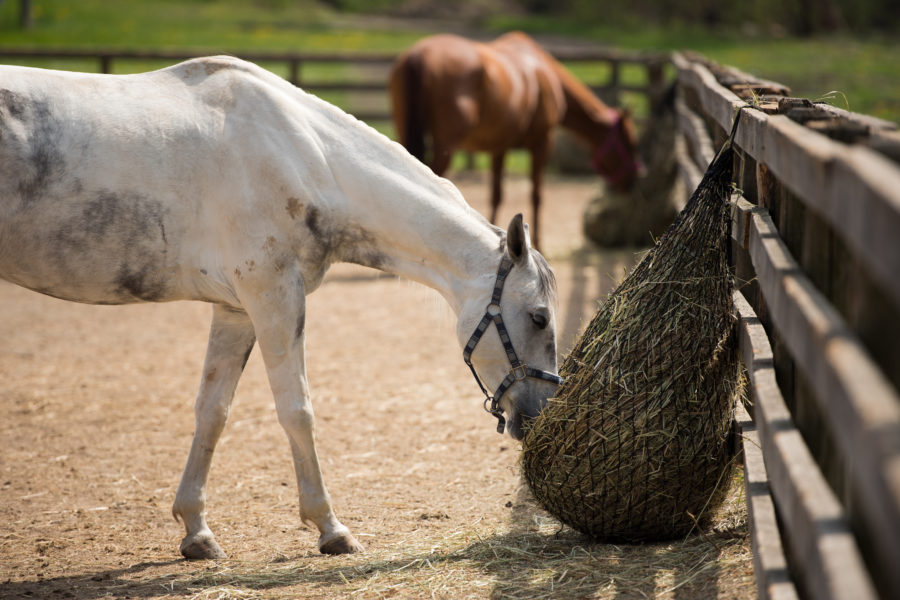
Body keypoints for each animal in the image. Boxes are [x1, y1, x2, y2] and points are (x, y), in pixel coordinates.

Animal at [0, 55, 560, 556]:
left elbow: (213, 411)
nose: (540, 415)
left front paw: (196, 530)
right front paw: (330, 528)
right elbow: (297, 410)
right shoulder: (273, 296)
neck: (306, 158)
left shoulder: (236, 310)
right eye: (539, 317)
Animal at [390, 31, 644, 248]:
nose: (633, 180)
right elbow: (536, 195)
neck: (542, 72)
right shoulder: (541, 143)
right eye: (631, 143)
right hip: (446, 146)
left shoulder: (498, 148)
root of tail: (419, 56)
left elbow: (496, 195)